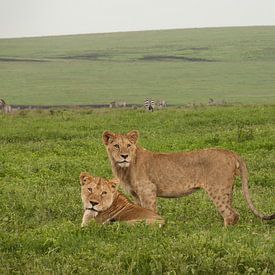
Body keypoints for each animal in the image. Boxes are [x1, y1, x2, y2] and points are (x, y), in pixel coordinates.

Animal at [103, 130, 275, 227]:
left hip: (217, 190)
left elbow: (151, 211)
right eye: (116, 146)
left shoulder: (148, 191)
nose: (124, 156)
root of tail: (230, 152)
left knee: (229, 214)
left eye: (129, 145)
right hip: (227, 190)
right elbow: (140, 212)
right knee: (234, 213)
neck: (124, 169)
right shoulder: (137, 196)